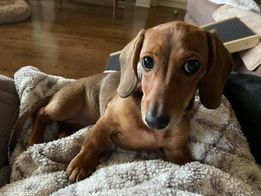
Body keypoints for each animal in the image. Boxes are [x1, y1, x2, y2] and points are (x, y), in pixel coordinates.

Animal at [25, 21, 232, 182]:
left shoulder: (176, 151)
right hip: (65, 105)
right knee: (42, 112)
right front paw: (81, 164)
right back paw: (34, 139)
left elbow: (186, 164)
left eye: (192, 65)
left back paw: (62, 134)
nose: (155, 121)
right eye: (147, 61)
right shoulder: (105, 122)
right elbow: (94, 143)